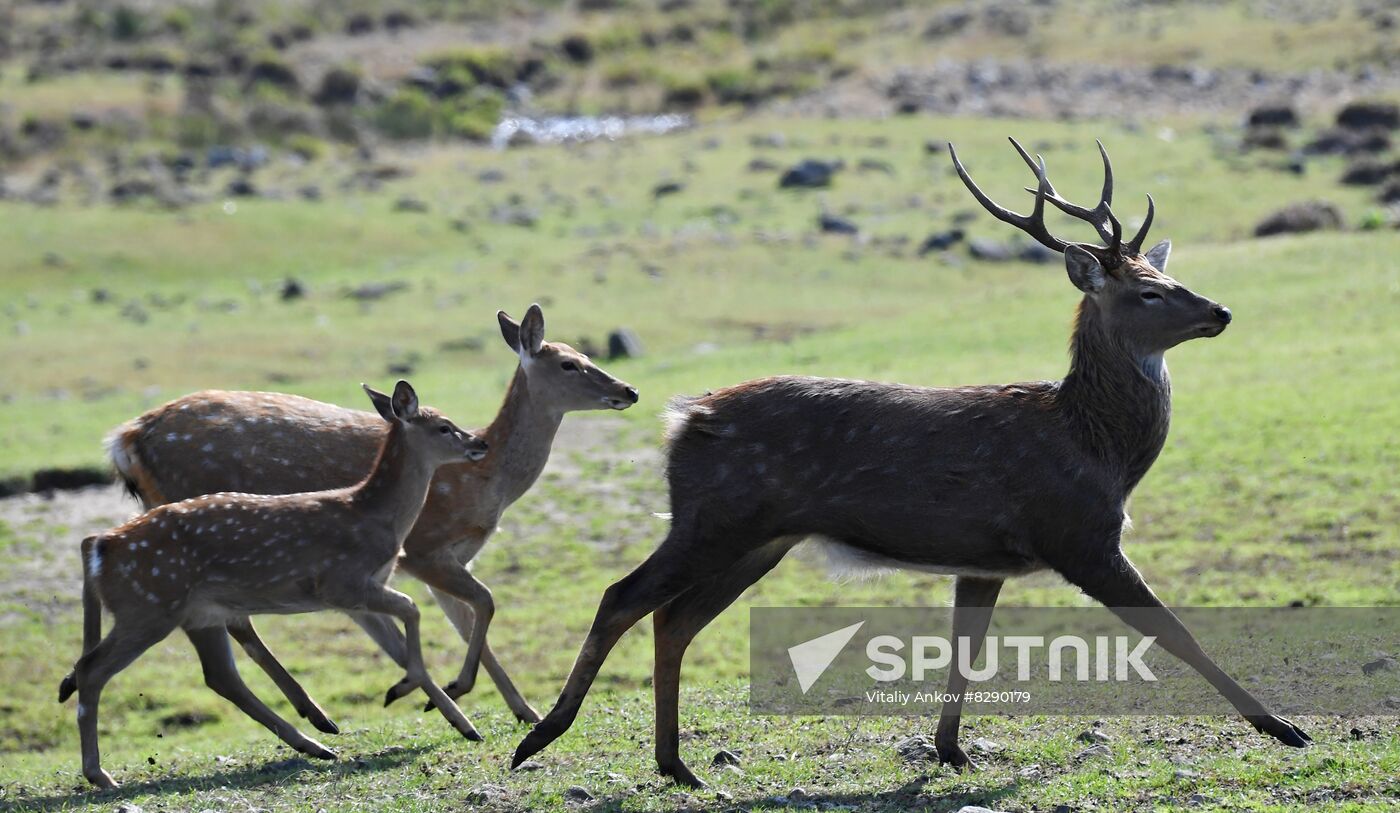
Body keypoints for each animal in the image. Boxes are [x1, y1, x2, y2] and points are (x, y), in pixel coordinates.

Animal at [57, 380, 490, 783]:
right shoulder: (341, 581)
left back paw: (316, 744)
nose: (480, 443)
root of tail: (101, 549)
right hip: (148, 605)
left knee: (218, 675)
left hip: (195, 612)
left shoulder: (355, 594)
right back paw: (99, 774)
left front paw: (463, 724)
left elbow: (403, 632)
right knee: (91, 668)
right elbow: (413, 611)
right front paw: (408, 689)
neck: (373, 514)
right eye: (444, 426)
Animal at [103, 306, 641, 727]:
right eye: (570, 363)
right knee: (236, 624)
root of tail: (126, 439)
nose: (629, 389)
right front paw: (458, 691)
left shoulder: (448, 558)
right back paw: (317, 714)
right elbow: (484, 605)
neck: (487, 483)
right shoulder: (425, 548)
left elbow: (469, 621)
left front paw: (521, 710)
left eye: (588, 355)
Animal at [512, 139, 1310, 783]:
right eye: (1148, 290)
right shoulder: (1077, 535)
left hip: (759, 536)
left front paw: (951, 749)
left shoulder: (985, 557)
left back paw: (675, 764)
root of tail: (684, 417)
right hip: (713, 517)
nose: (1220, 312)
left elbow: (966, 647)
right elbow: (1175, 630)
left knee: (674, 619)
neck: (1097, 448)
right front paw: (1282, 727)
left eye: (1171, 276)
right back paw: (541, 738)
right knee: (623, 596)